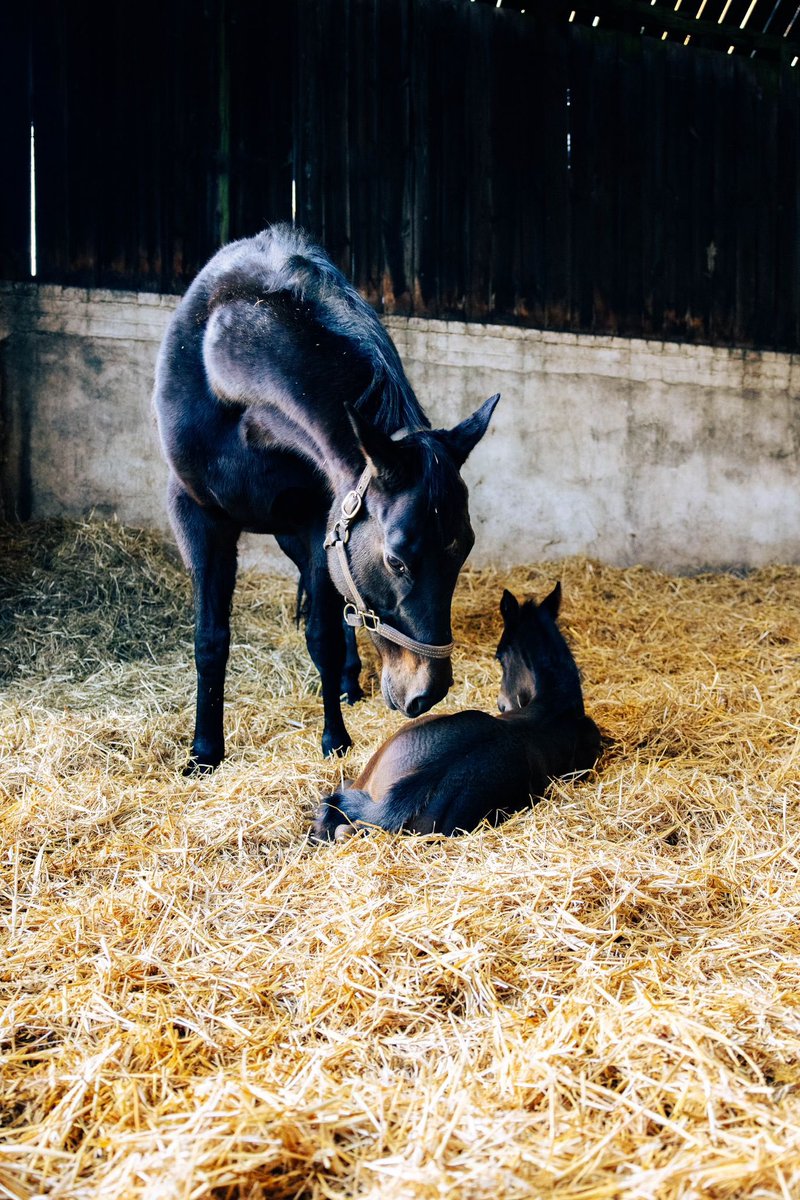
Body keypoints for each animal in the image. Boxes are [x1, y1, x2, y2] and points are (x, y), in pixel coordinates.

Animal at [153, 224, 499, 768]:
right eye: (397, 560)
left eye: (464, 550)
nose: (430, 693)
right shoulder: (198, 517)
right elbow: (210, 641)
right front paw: (205, 751)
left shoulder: (320, 523)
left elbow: (324, 637)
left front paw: (335, 738)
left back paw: (347, 684)